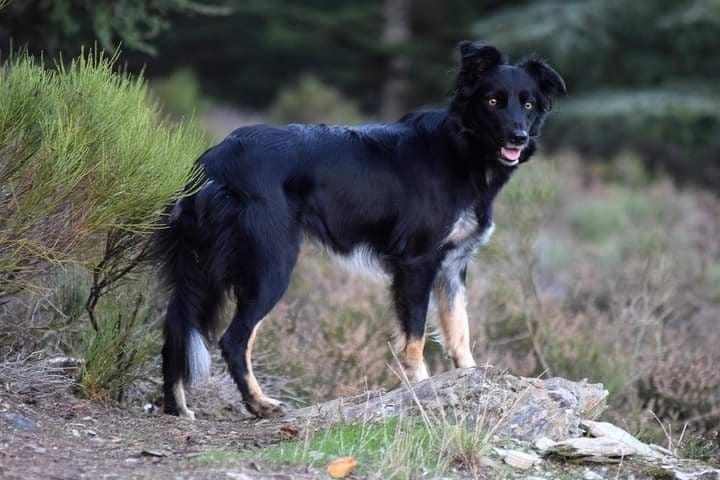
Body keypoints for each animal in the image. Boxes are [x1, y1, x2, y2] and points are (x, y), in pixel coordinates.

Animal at [155, 42, 564, 420]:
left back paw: (177, 406)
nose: (519, 137)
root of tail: (214, 160)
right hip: (271, 265)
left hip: (200, 267)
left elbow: (459, 333)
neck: (461, 148)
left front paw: (472, 380)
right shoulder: (417, 262)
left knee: (176, 326)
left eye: (528, 104)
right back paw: (258, 404)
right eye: (493, 101)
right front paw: (421, 390)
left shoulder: (452, 267)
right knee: (233, 340)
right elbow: (415, 338)